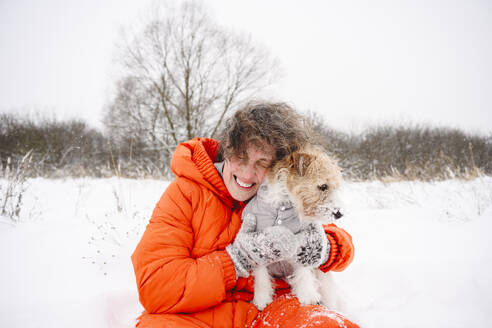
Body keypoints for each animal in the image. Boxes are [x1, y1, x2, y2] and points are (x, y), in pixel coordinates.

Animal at [240, 145, 344, 310]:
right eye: (323, 186)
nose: (339, 213)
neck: (285, 203)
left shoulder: (304, 246)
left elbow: (304, 272)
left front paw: (308, 296)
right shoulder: (257, 245)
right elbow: (261, 276)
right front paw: (261, 299)